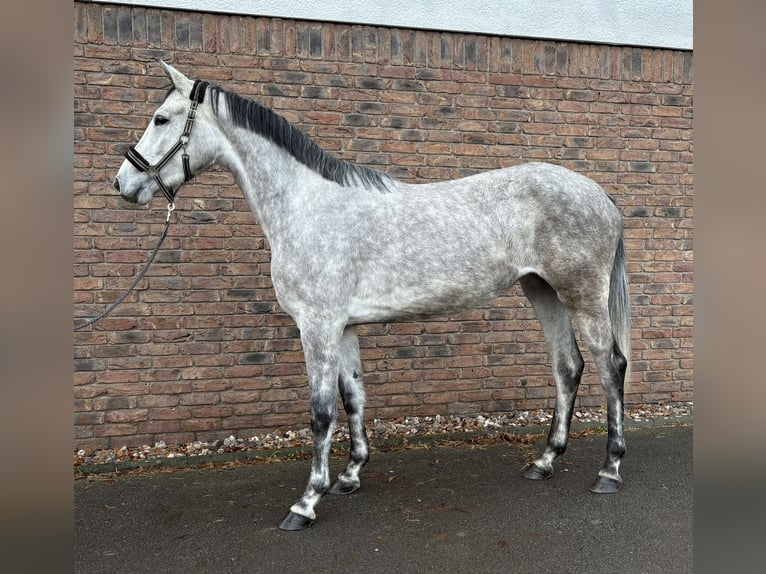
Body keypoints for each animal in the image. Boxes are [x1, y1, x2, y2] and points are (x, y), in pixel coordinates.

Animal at [113, 62, 631, 531]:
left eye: (161, 118)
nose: (122, 184)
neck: (306, 207)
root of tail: (600, 195)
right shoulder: (342, 328)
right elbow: (353, 395)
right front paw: (349, 475)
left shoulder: (317, 326)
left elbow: (321, 412)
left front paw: (306, 502)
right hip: (543, 292)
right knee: (568, 367)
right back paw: (544, 462)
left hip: (582, 294)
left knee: (610, 366)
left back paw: (609, 470)